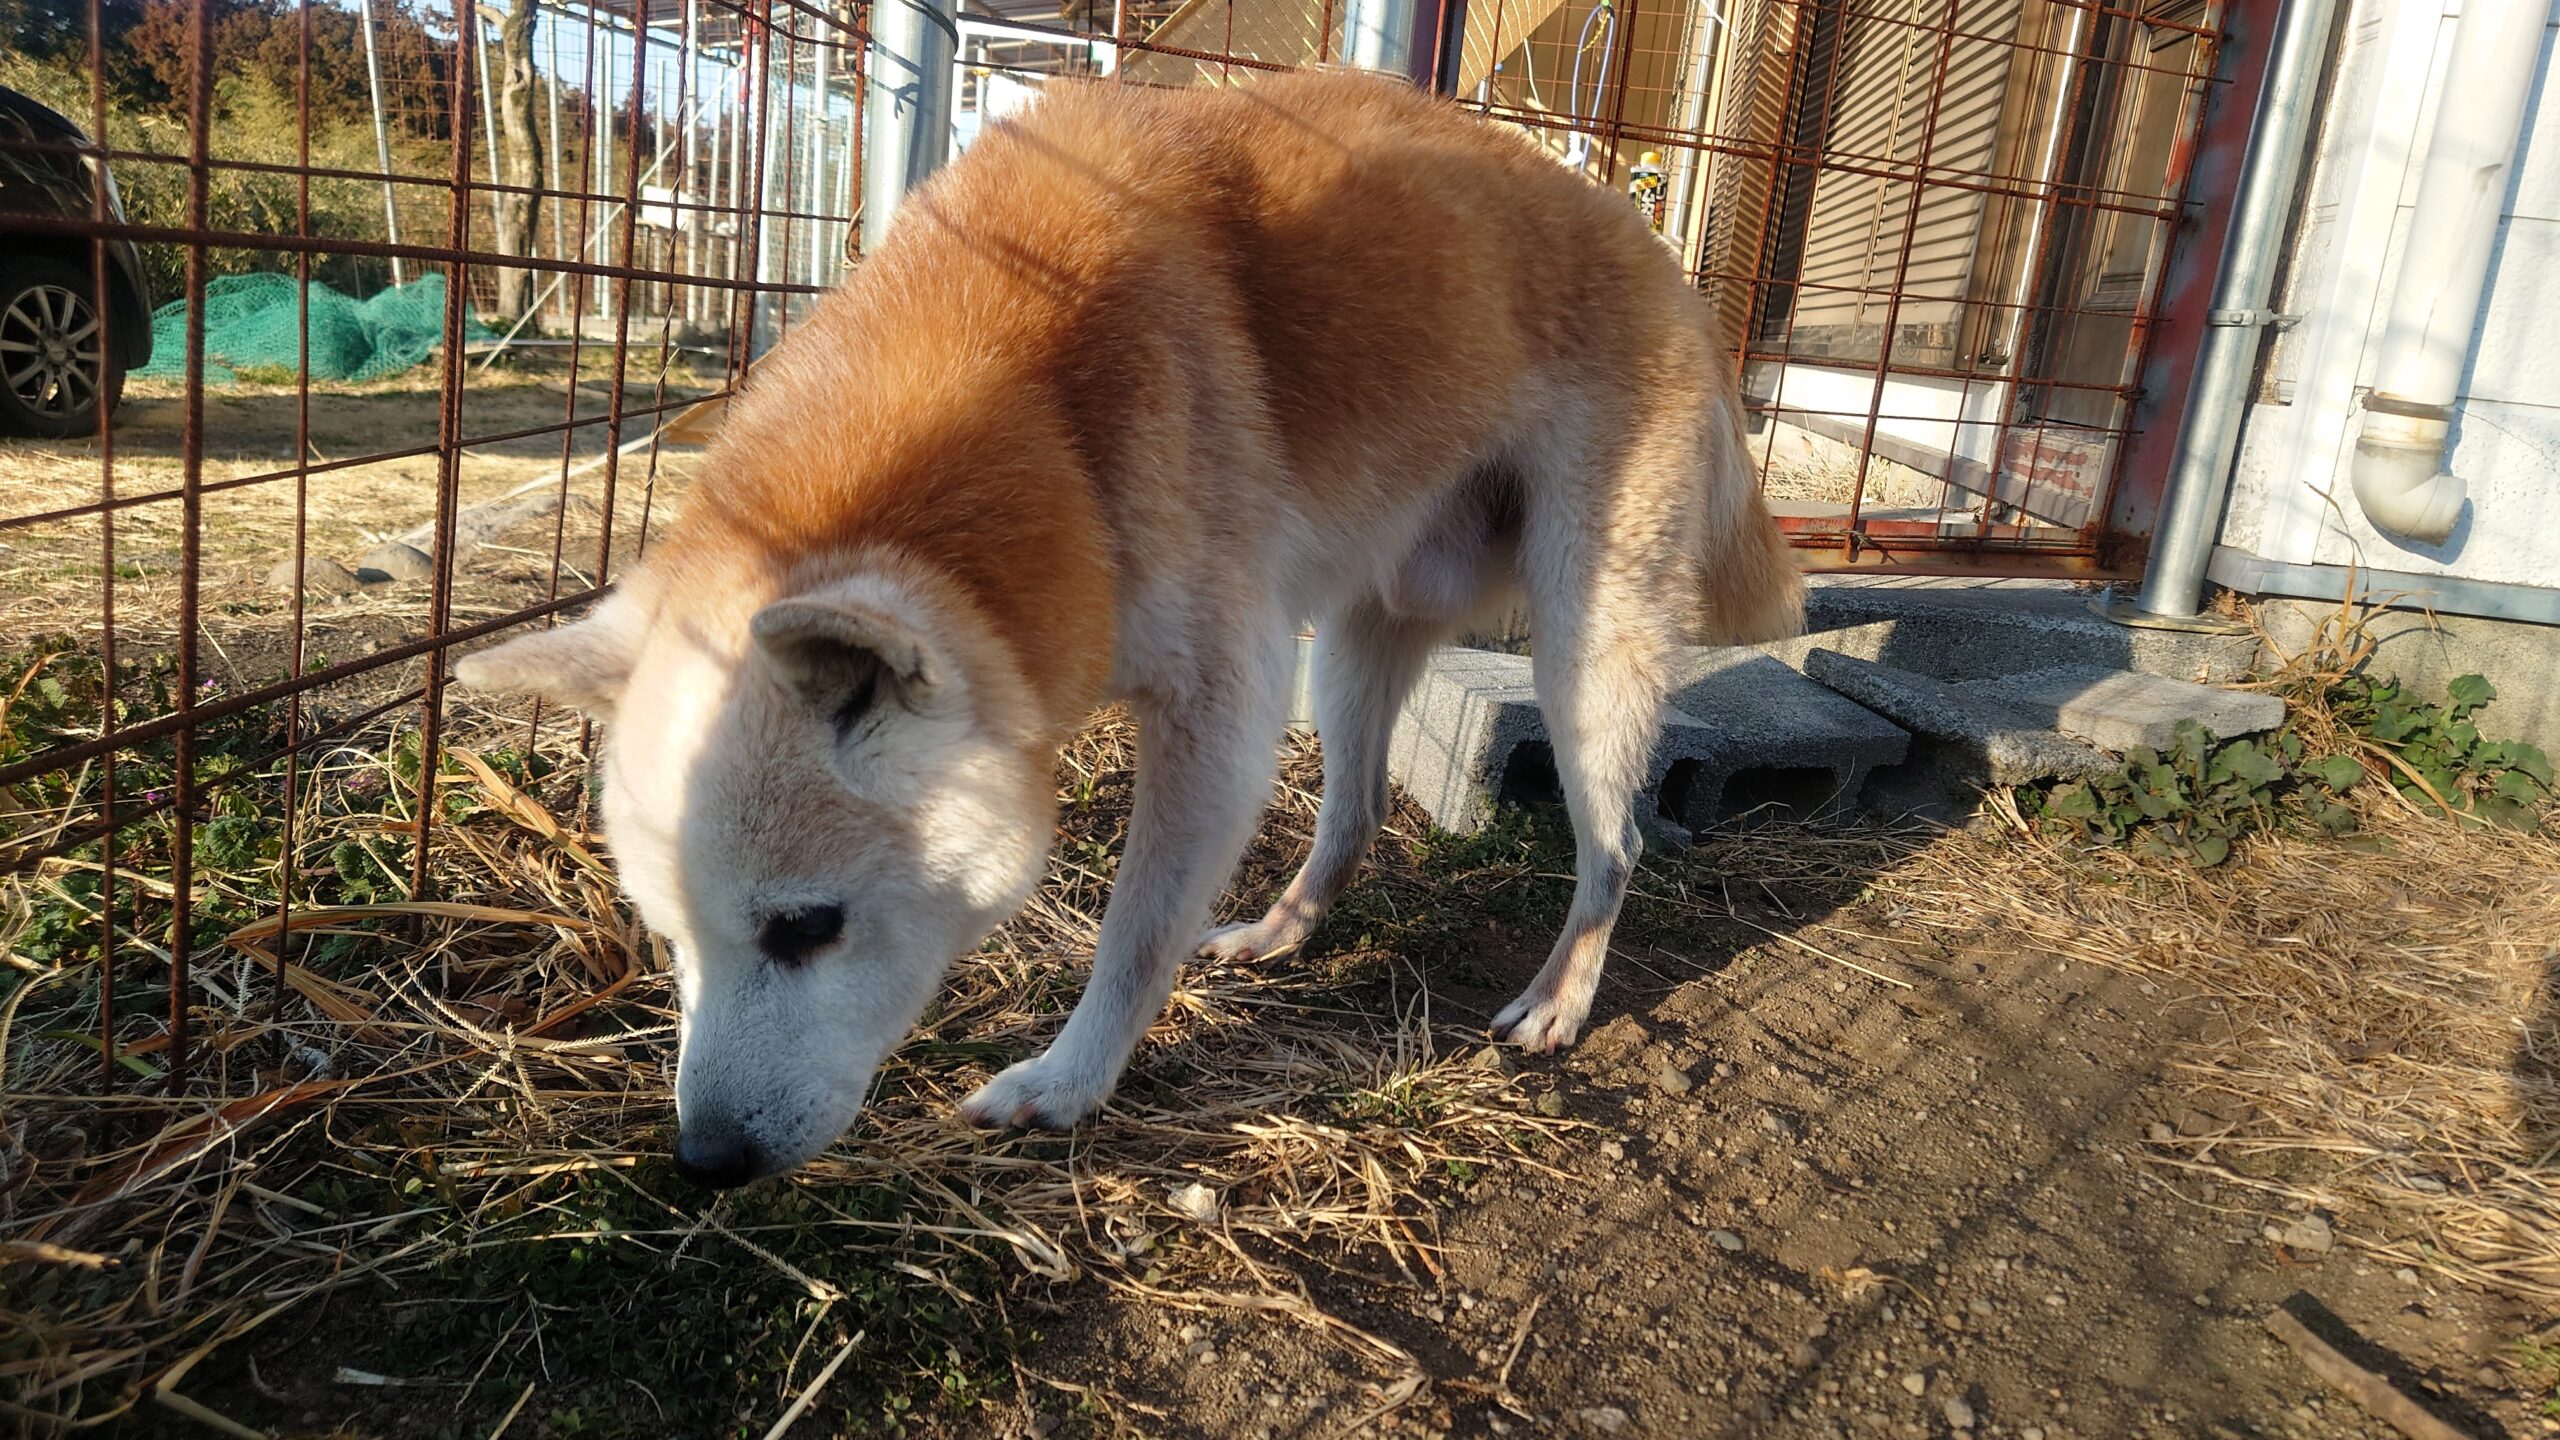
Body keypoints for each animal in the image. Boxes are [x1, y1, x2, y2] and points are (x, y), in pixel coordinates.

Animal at [454, 70, 1804, 1188]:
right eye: (665, 934)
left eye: (804, 929)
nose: (704, 1162)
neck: (1035, 399)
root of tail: (1665, 261)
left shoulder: (1222, 698)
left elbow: (1133, 930)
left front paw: (1066, 1083)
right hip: (1360, 639)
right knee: (1357, 812)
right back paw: (1280, 930)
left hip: (1587, 641)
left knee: (1612, 848)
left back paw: (1559, 1000)